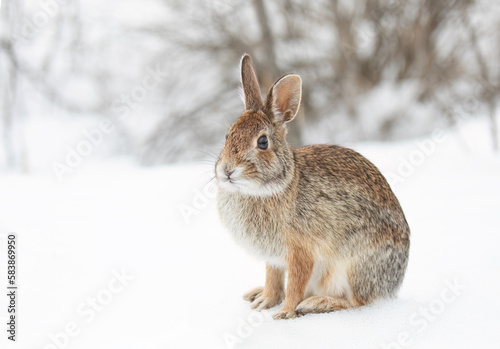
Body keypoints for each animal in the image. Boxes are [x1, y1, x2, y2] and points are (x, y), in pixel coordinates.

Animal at [216, 53, 410, 318]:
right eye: (227, 136)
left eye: (263, 142)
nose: (227, 170)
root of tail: (394, 283)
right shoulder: (274, 258)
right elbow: (272, 278)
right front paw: (265, 301)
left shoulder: (301, 252)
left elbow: (295, 284)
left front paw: (284, 313)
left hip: (353, 267)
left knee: (359, 302)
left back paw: (316, 303)